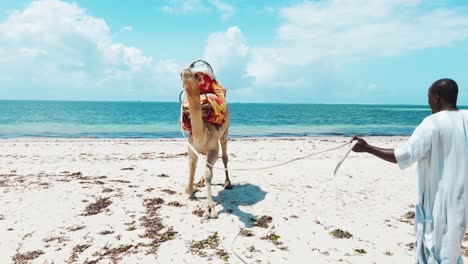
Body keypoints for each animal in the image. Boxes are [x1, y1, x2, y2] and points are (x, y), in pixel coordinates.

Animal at [179, 67, 230, 218]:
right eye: (180, 74)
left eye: (196, 75)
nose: (185, 73)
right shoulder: (191, 149)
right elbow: (192, 168)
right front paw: (190, 190)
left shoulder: (214, 148)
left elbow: (209, 173)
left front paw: (209, 208)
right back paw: (200, 182)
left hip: (225, 133)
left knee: (224, 156)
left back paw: (228, 183)